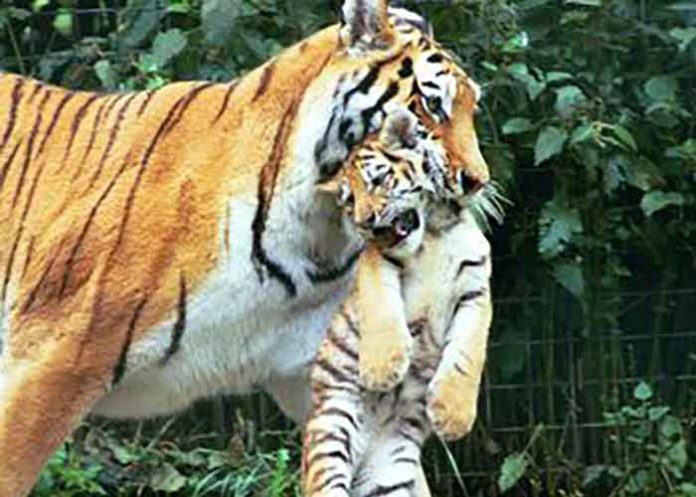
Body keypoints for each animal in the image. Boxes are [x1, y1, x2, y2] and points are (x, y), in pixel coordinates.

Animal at [0, 0, 490, 492]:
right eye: (432, 104)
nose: (478, 182)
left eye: (472, 109)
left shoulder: (328, 373)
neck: (318, 232)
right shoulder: (54, 356)